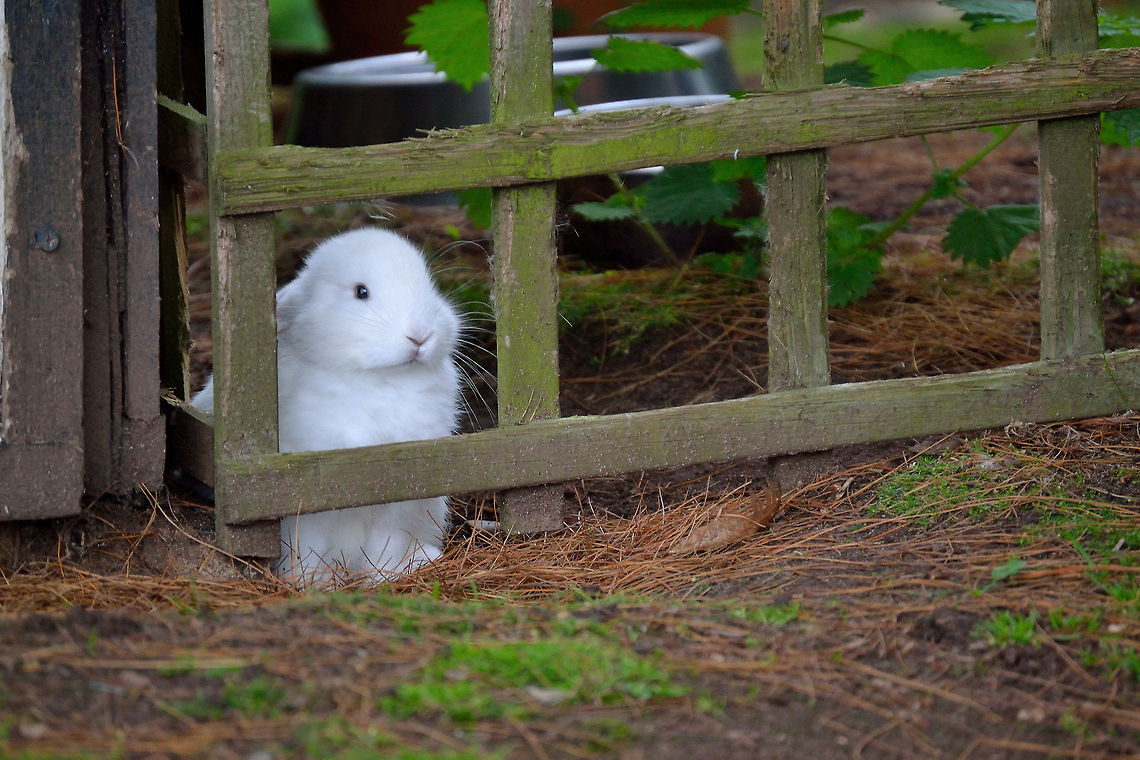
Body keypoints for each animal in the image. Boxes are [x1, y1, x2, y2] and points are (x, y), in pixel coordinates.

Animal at [192, 227, 462, 586]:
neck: (380, 380)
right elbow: (307, 548)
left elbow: (386, 547)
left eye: (428, 285)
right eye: (361, 292)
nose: (419, 336)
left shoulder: (401, 503)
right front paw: (310, 583)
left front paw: (383, 578)